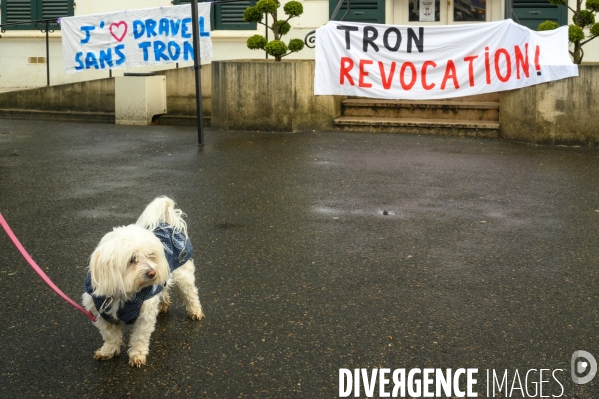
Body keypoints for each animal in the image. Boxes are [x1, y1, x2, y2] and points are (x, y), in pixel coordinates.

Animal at [82, 197, 205, 368]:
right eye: (132, 259)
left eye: (150, 255)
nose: (152, 273)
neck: (123, 293)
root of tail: (168, 223)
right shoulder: (101, 314)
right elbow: (110, 336)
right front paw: (108, 351)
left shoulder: (144, 315)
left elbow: (139, 338)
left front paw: (137, 355)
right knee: (163, 290)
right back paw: (163, 305)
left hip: (183, 275)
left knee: (191, 294)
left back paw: (195, 311)